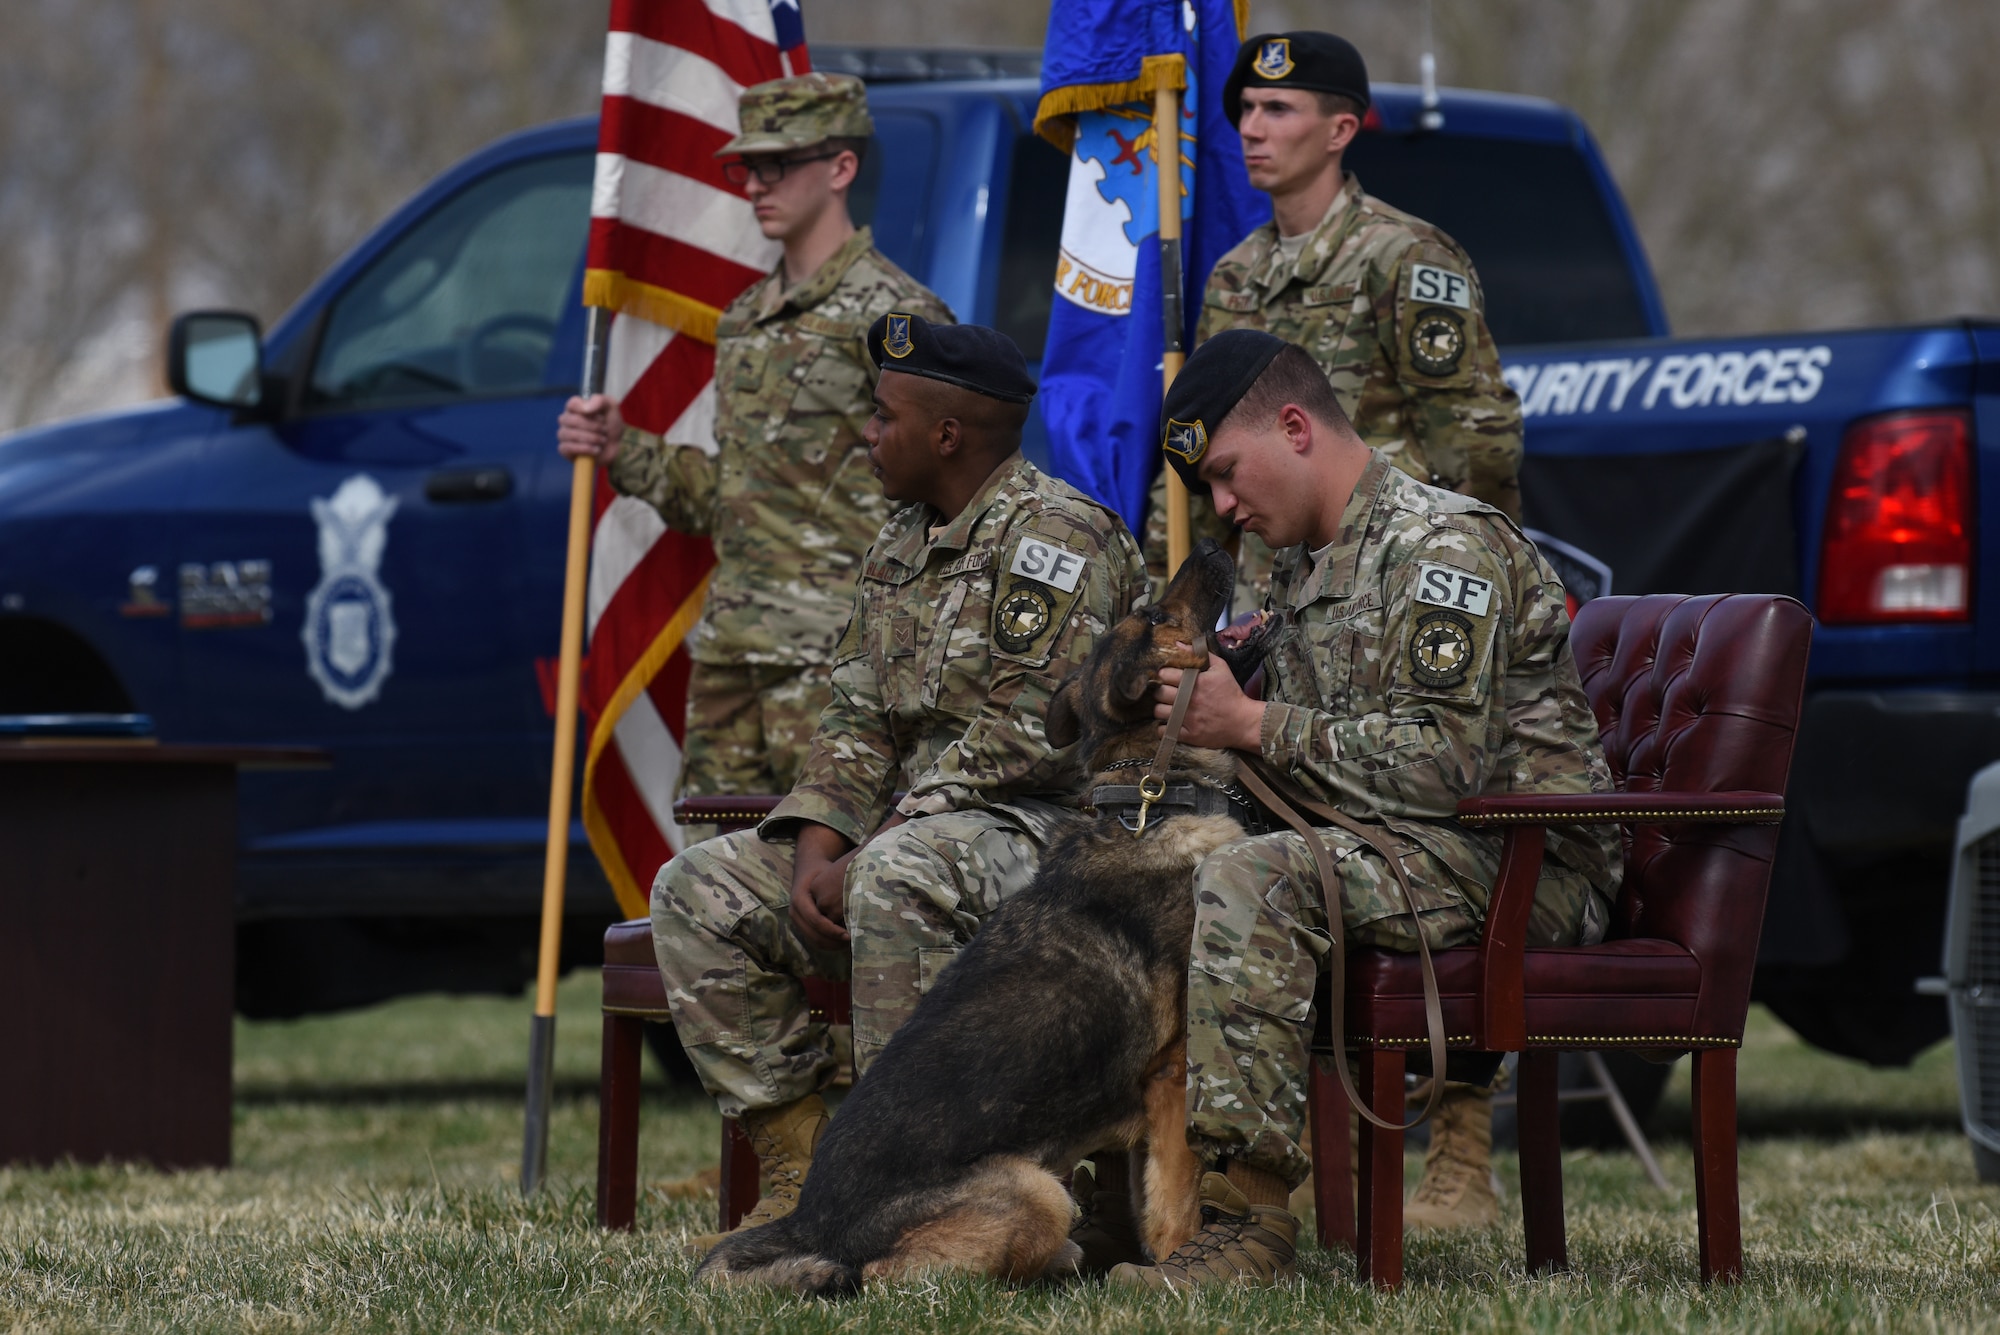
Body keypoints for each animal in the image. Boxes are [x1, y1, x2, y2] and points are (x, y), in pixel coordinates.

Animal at [696, 539, 1256, 1295]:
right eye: (1160, 616)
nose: (1210, 543)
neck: (1151, 799)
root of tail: (810, 1224)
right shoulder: (1173, 1081)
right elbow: (1177, 1201)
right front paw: (1181, 1268)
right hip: (1036, 1189)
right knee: (886, 1277)